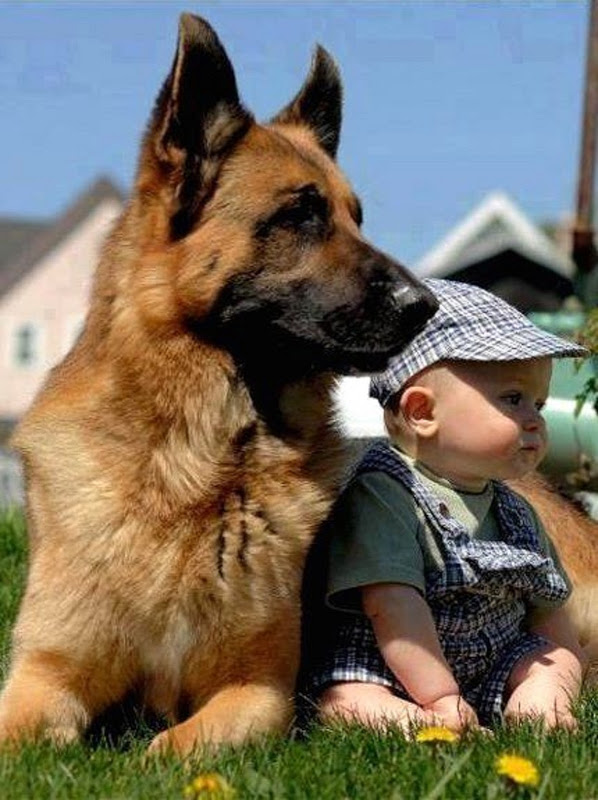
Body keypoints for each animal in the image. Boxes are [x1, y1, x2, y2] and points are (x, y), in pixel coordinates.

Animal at [0, 12, 440, 752]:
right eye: (300, 215)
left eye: (357, 217)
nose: (426, 305)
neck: (188, 471)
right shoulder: (44, 673)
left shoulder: (256, 692)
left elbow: (167, 748)